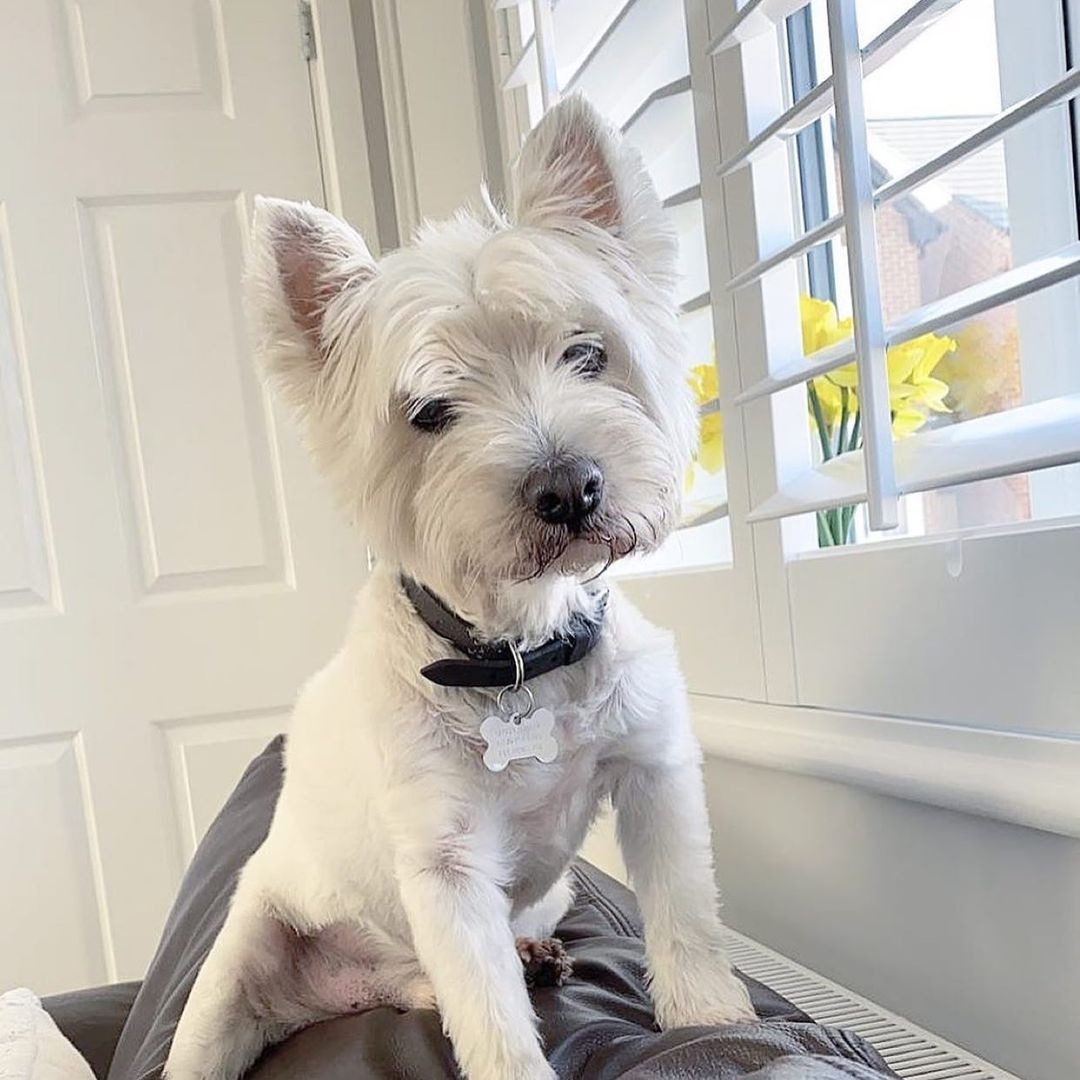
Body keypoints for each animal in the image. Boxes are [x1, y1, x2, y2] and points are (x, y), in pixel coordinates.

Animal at [166, 92, 751, 1080]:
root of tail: (375, 985)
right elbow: (492, 1019)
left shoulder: (653, 769)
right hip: (238, 963)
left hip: (543, 901)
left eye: (586, 355)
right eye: (430, 412)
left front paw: (713, 1018)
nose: (571, 488)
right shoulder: (446, 863)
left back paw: (533, 952)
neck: (520, 652)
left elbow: (685, 909)